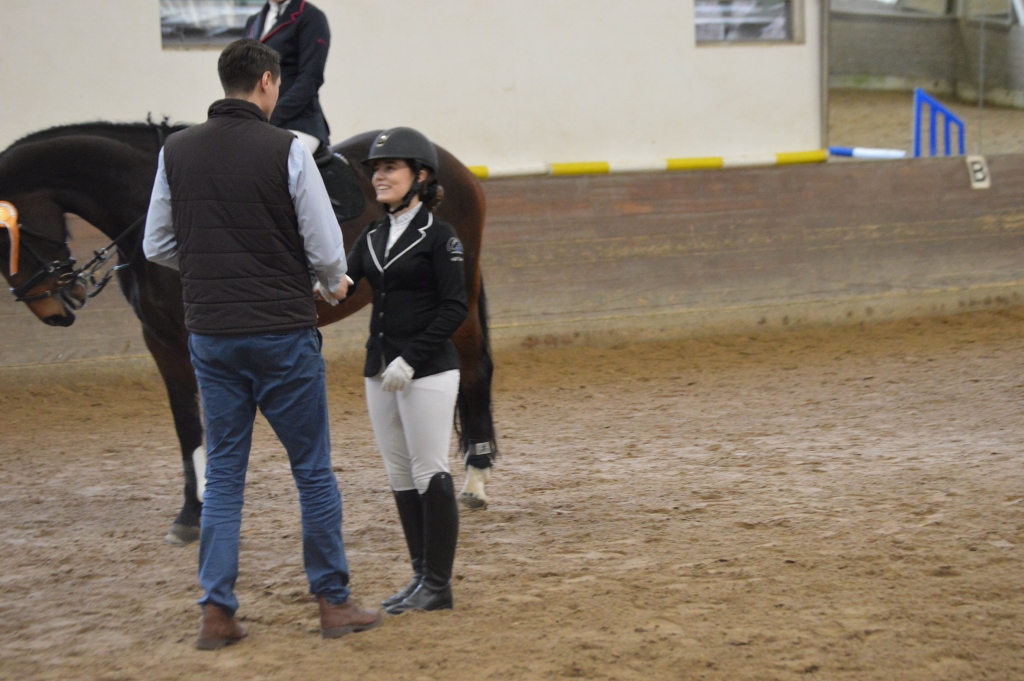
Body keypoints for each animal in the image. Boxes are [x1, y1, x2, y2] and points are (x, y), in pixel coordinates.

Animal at [0, 122, 499, 545]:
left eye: (8, 236)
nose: (53, 307)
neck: (149, 201)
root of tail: (453, 167)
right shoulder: (159, 339)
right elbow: (187, 424)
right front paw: (190, 514)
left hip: (459, 299)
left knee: (474, 371)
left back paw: (476, 479)